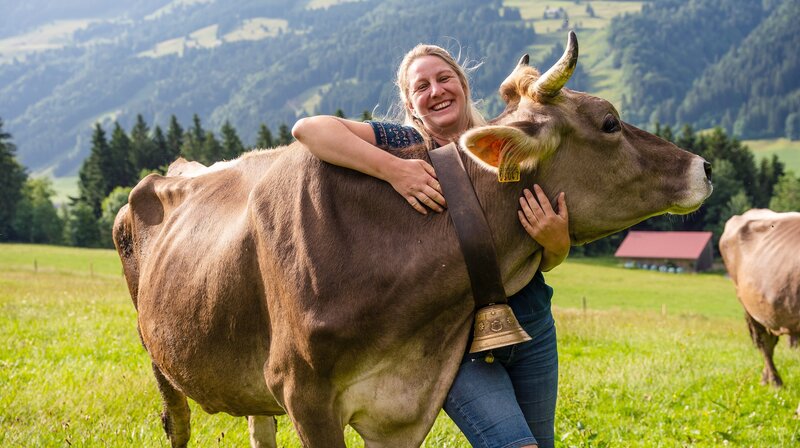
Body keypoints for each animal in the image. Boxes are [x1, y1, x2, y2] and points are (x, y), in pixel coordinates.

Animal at [113, 32, 712, 447]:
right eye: (609, 122)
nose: (704, 166)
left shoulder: (397, 403)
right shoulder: (303, 392)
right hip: (158, 355)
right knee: (176, 423)